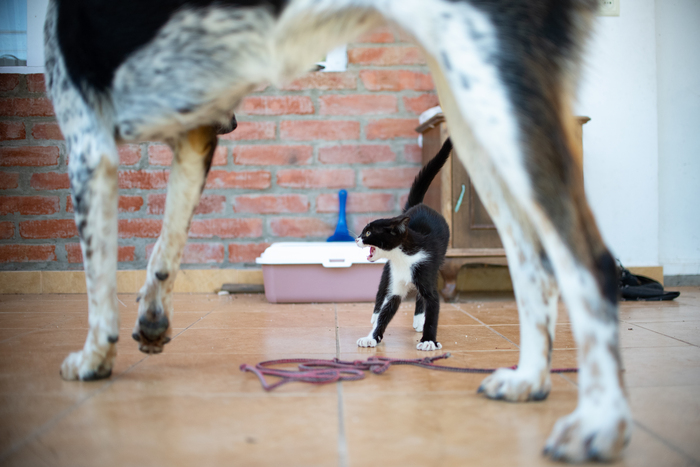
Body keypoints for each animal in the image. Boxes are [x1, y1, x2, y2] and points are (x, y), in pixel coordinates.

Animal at [355, 138, 452, 351]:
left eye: (368, 232)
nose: (356, 238)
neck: (403, 257)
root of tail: (419, 206)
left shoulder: (426, 269)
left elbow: (432, 304)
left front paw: (428, 340)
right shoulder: (395, 279)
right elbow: (387, 309)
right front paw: (372, 336)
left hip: (435, 266)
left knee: (421, 296)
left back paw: (419, 319)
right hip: (388, 271)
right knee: (382, 289)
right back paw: (375, 316)